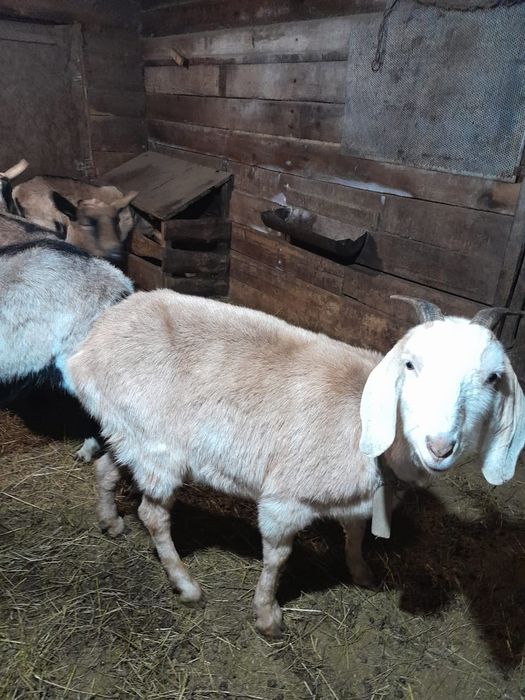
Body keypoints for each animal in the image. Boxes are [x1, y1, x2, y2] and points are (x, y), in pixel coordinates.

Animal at [67, 292, 525, 637]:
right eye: (410, 364)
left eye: (492, 378)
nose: (440, 445)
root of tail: (87, 348)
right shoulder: (285, 500)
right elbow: (278, 558)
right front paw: (268, 616)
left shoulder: (357, 498)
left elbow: (356, 534)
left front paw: (361, 572)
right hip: (158, 447)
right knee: (153, 515)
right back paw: (186, 584)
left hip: (126, 429)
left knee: (106, 468)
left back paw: (110, 522)